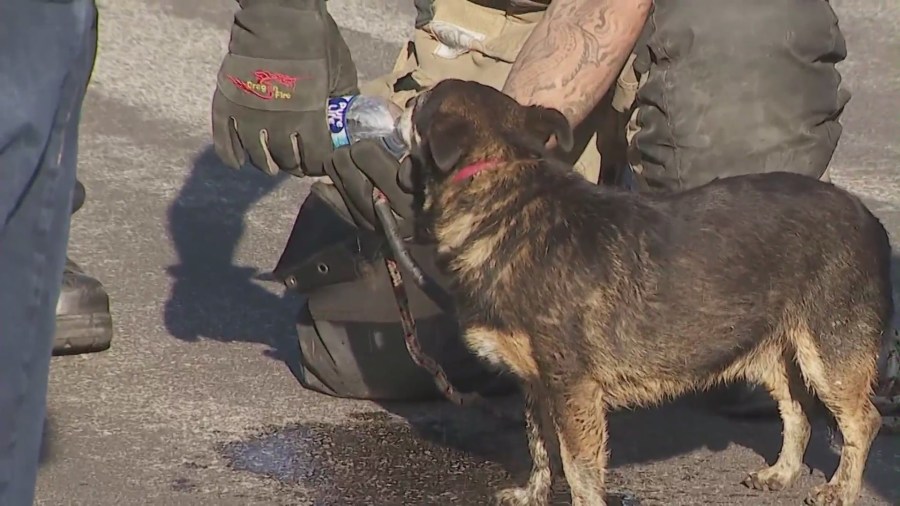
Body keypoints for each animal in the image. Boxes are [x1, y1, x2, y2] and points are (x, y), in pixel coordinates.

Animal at [394, 76, 892, 506]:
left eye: (419, 104)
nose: (403, 99)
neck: (507, 201)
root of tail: (869, 218)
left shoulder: (573, 389)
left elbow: (578, 469)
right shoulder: (536, 385)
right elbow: (539, 447)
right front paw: (532, 494)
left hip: (831, 355)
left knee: (863, 422)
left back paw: (841, 489)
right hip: (775, 353)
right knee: (797, 412)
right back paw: (782, 473)